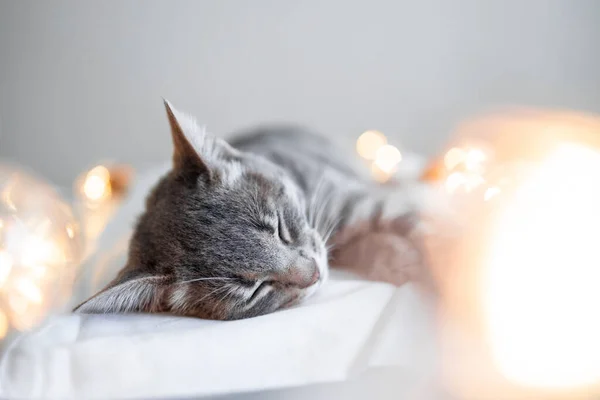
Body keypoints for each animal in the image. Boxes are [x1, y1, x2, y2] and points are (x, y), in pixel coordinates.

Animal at [75, 101, 420, 320]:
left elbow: (416, 224)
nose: (315, 274)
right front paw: (400, 261)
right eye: (254, 289)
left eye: (279, 227)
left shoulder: (352, 199)